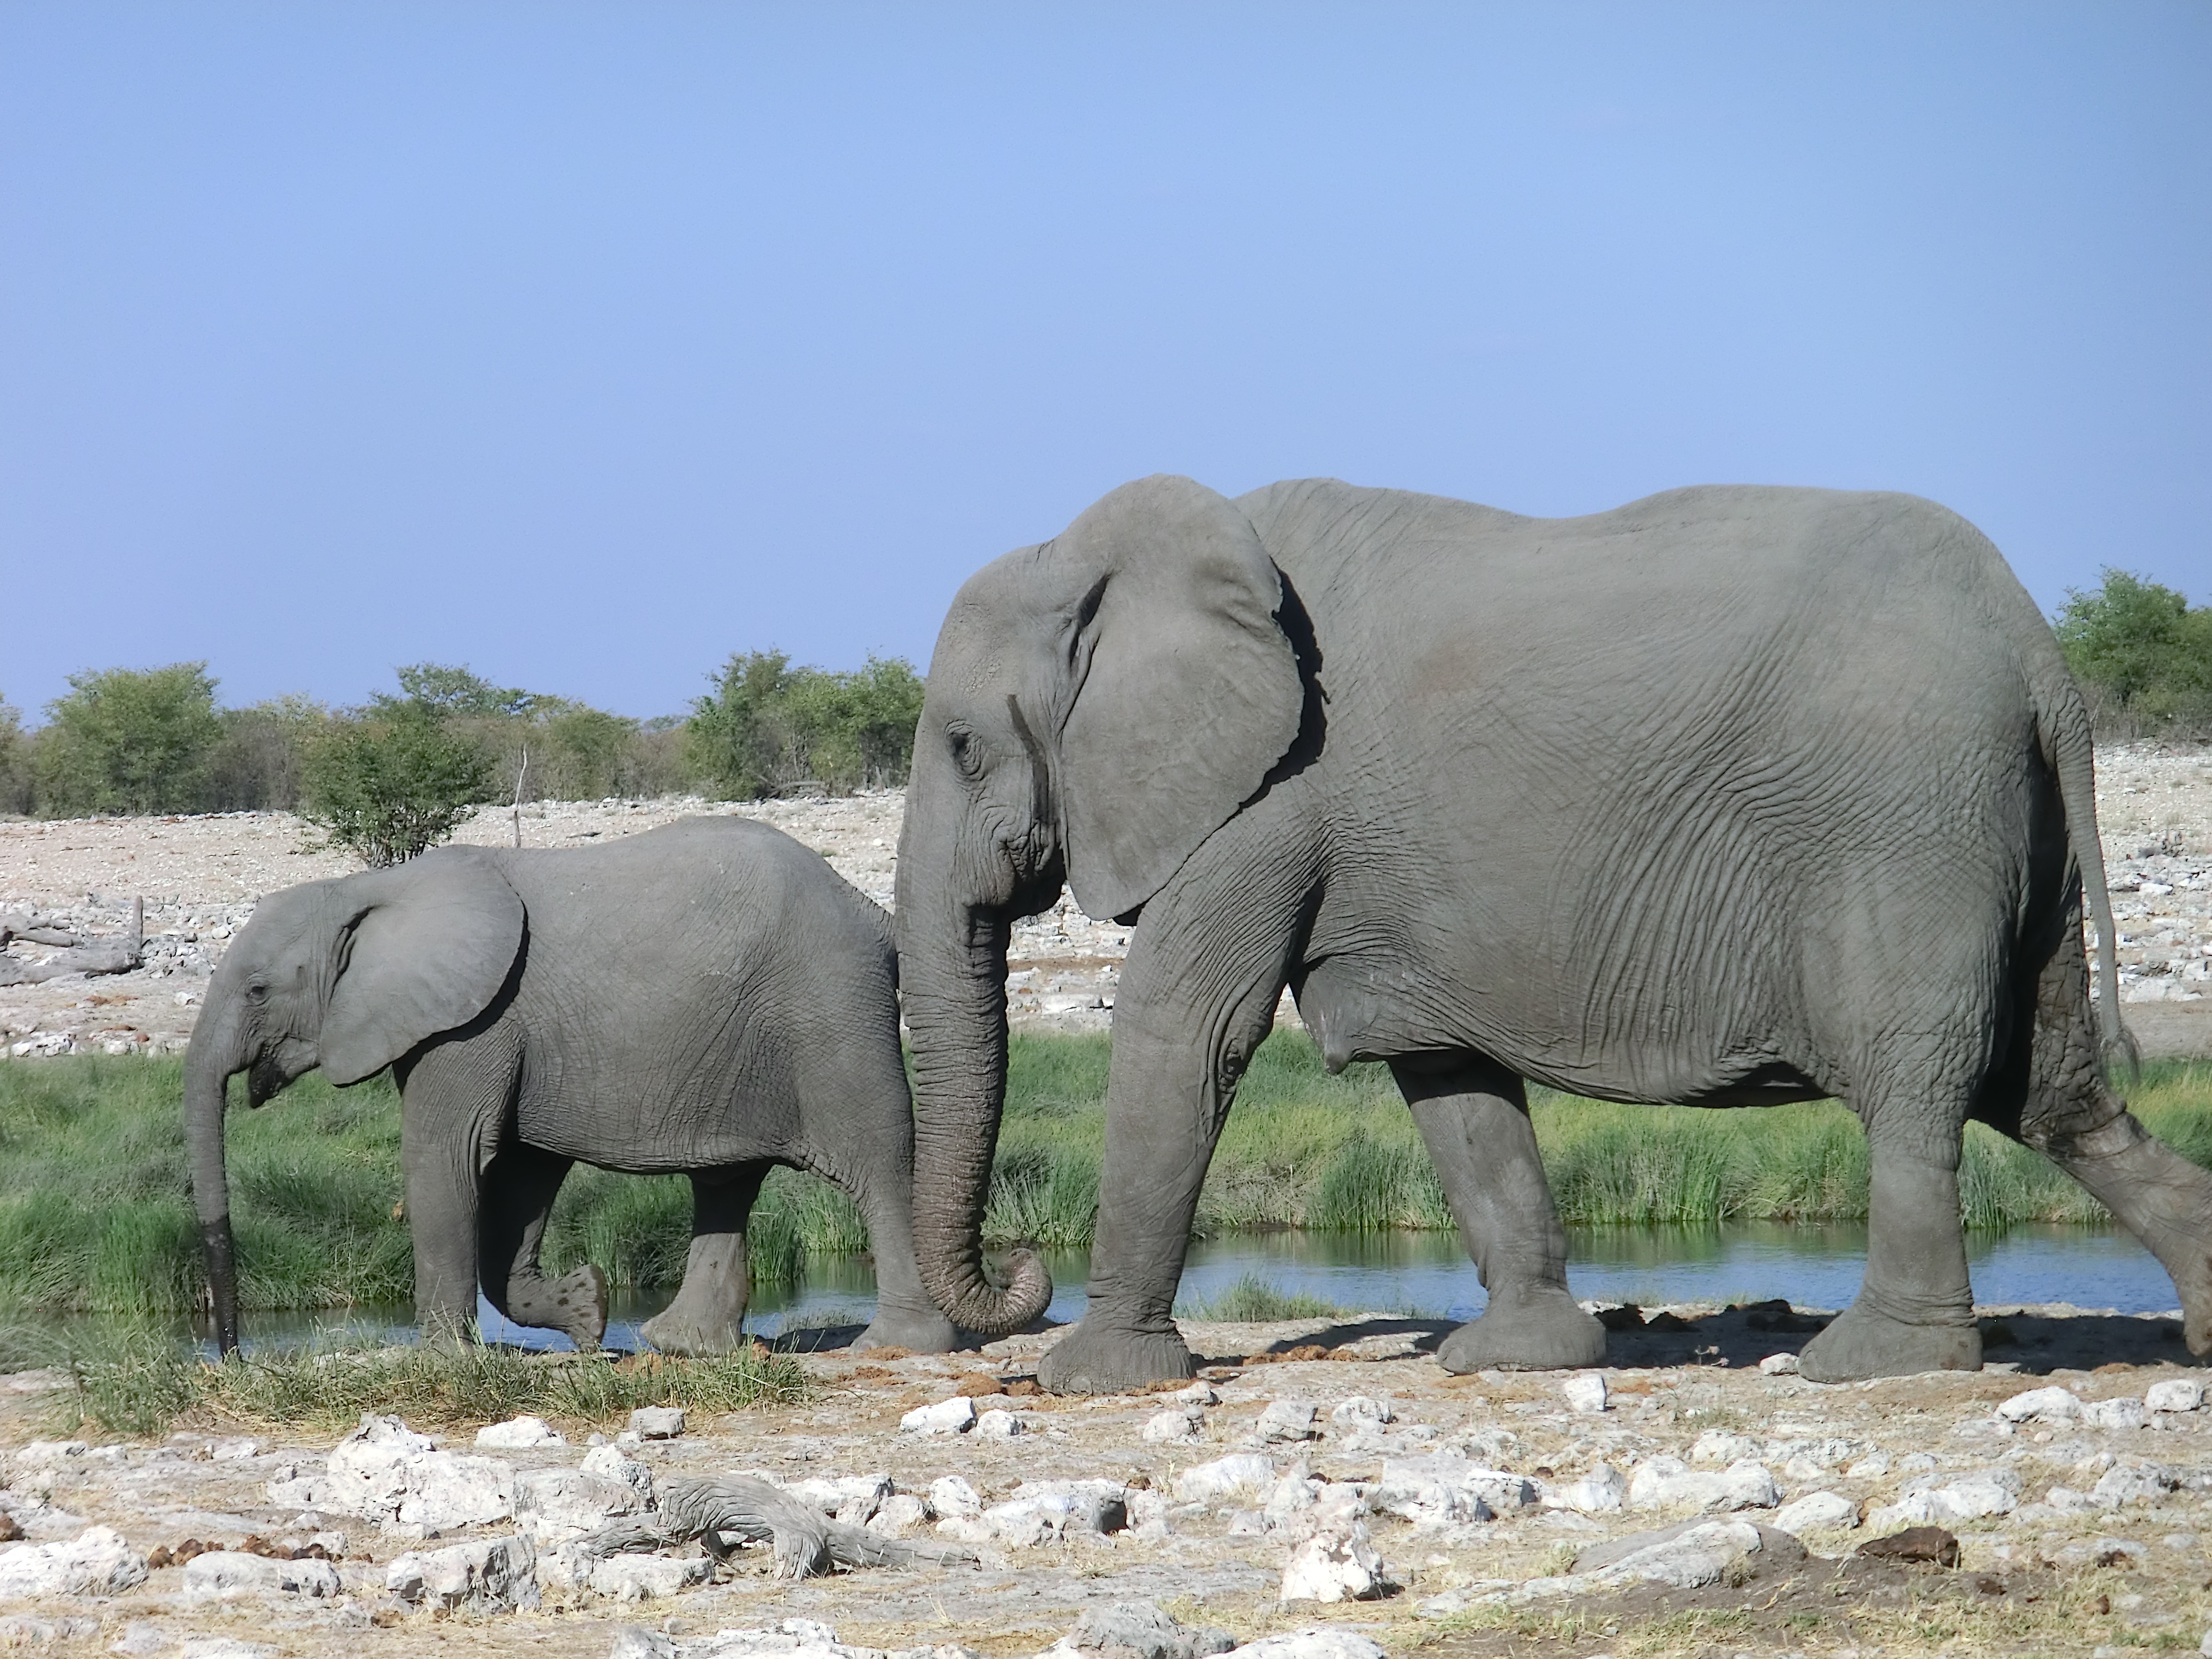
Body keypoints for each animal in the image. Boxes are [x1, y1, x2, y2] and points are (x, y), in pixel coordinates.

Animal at [898, 473, 2212, 1398]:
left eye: (962, 745)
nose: (1021, 1273)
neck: (1107, 563)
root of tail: (2040, 652)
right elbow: (1444, 1076)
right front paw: (1519, 1355)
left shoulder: (1270, 796)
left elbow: (1184, 1033)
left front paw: (1090, 1378)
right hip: (2000, 827)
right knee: (2053, 1091)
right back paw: (2199, 1322)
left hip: (1903, 824)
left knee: (1917, 1083)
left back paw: (1874, 1363)